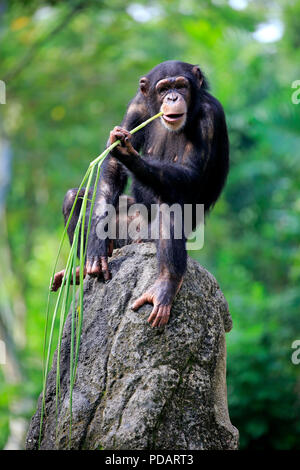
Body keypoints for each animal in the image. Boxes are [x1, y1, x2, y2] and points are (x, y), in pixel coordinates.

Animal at [52, 60, 230, 328]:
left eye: (181, 85)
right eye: (163, 88)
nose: (173, 97)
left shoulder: (211, 116)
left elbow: (191, 174)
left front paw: (128, 153)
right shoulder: (137, 104)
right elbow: (111, 167)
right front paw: (95, 245)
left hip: (149, 237)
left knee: (171, 209)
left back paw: (165, 286)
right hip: (121, 236)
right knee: (74, 198)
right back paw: (82, 269)